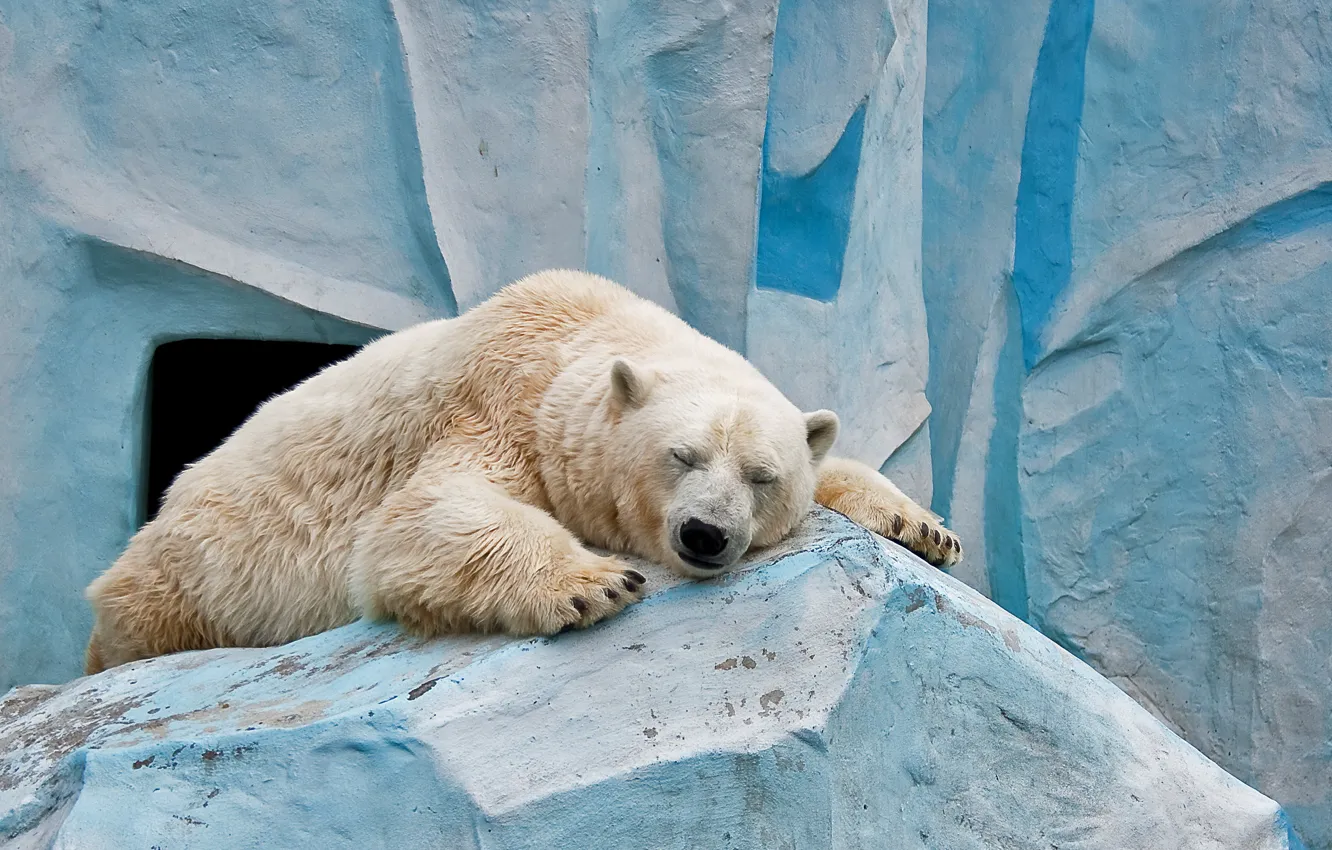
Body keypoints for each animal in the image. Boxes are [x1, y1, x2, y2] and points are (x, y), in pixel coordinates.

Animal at [84, 270, 961, 674]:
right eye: (681, 455)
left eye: (760, 474)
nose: (705, 535)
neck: (580, 332)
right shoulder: (496, 406)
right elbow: (419, 517)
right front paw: (594, 582)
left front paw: (925, 528)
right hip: (187, 576)